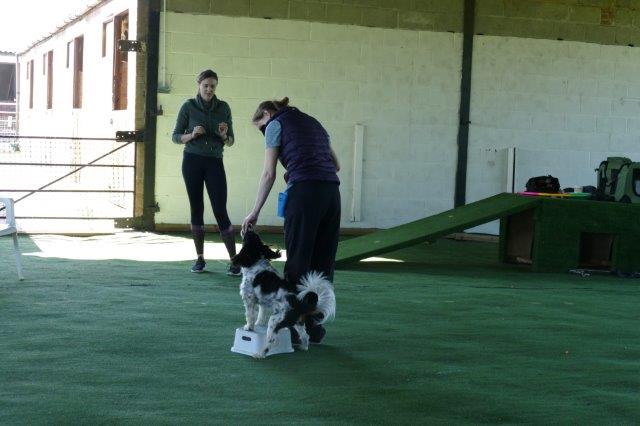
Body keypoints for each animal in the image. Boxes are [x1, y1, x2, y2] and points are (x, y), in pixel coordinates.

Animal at [231, 230, 335, 358]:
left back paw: (260, 354)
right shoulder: (262, 302)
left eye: (248, 237)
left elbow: (250, 316)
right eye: (257, 236)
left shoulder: (249, 299)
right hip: (298, 323)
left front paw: (248, 327)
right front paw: (259, 324)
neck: (256, 261)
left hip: (274, 321)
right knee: (305, 335)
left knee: (271, 340)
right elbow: (261, 315)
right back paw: (303, 347)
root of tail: (300, 304)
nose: (249, 229)